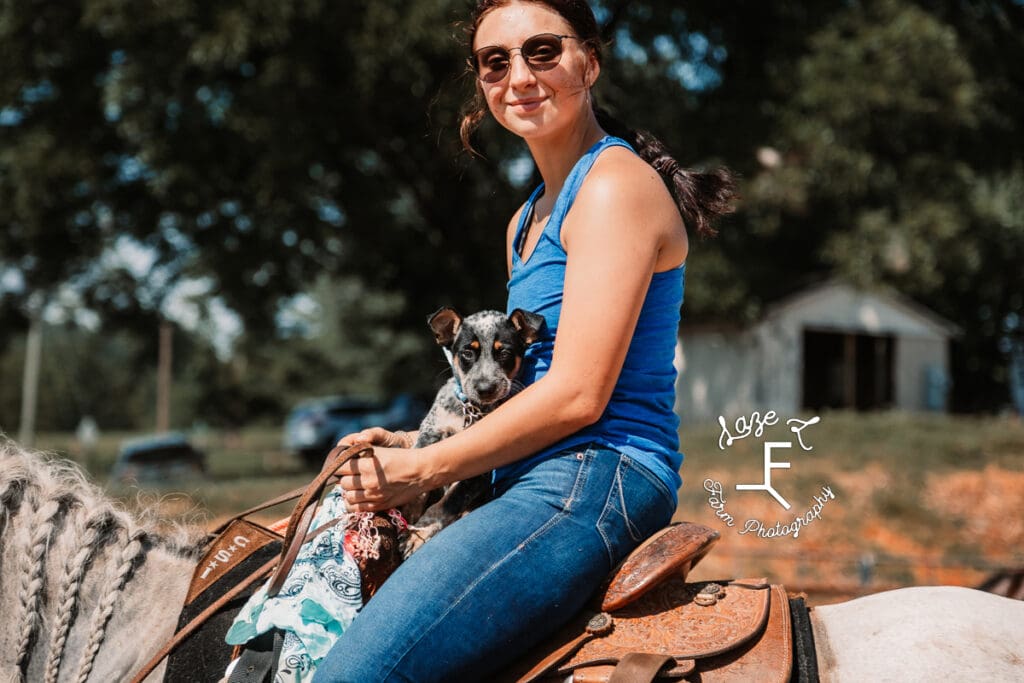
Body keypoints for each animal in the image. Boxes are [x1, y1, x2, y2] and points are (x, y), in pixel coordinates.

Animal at [397, 307, 544, 557]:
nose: (485, 388)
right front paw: (407, 515)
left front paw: (419, 533)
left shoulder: (481, 467)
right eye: (467, 352)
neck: (471, 410)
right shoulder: (430, 434)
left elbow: (448, 502)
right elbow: (416, 485)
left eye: (504, 352)